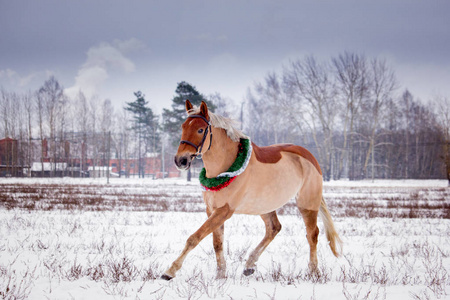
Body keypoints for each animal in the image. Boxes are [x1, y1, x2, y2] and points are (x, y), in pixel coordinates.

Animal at [161, 99, 342, 280]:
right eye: (183, 127)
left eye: (200, 129)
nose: (181, 160)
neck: (225, 166)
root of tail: (310, 157)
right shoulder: (211, 209)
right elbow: (217, 243)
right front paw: (221, 275)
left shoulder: (224, 211)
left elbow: (195, 237)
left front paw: (170, 271)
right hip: (265, 206)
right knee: (274, 229)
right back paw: (249, 265)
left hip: (307, 205)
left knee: (312, 234)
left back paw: (313, 271)